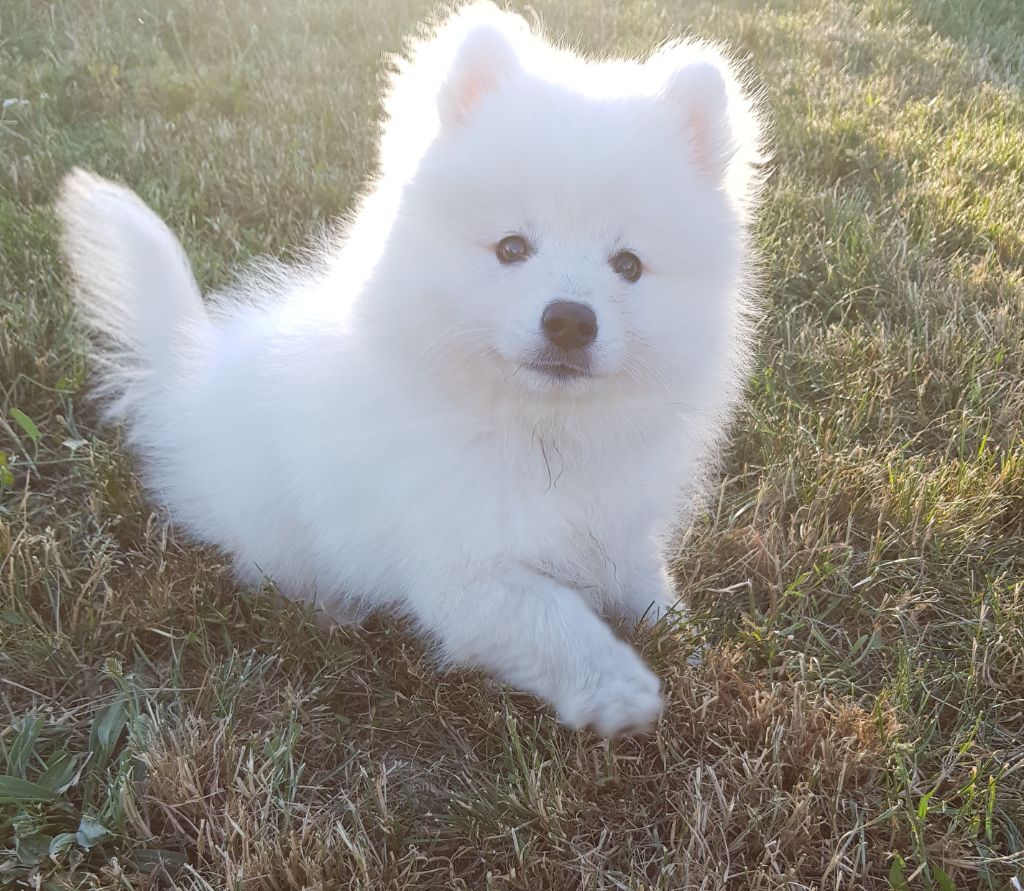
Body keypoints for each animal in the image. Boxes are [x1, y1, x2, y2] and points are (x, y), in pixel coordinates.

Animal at [58, 2, 766, 735]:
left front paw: (687, 643)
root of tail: (190, 379)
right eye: (512, 248)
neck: (536, 426)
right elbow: (553, 619)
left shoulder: (618, 526)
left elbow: (648, 587)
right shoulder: (463, 573)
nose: (570, 319)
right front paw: (623, 687)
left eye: (628, 265)